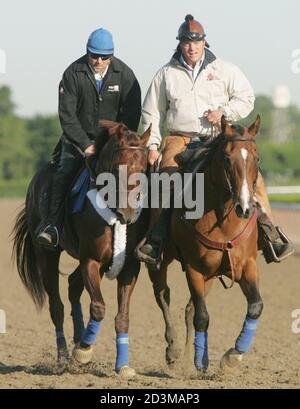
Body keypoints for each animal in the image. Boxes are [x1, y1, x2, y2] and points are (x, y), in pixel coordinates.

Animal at [13, 120, 151, 376]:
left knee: (73, 286)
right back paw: (64, 357)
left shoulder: (128, 267)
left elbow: (122, 316)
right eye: (117, 168)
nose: (128, 214)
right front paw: (84, 351)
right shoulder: (91, 260)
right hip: (47, 255)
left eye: (144, 167)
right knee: (56, 307)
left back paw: (78, 338)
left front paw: (123, 366)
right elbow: (98, 307)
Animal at [149, 115, 264, 372]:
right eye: (227, 157)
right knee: (163, 296)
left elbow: (255, 306)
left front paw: (232, 356)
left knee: (189, 308)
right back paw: (173, 349)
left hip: (212, 274)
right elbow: (202, 316)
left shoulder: (247, 265)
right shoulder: (194, 268)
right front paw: (201, 361)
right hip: (158, 262)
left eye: (257, 157)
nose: (245, 207)